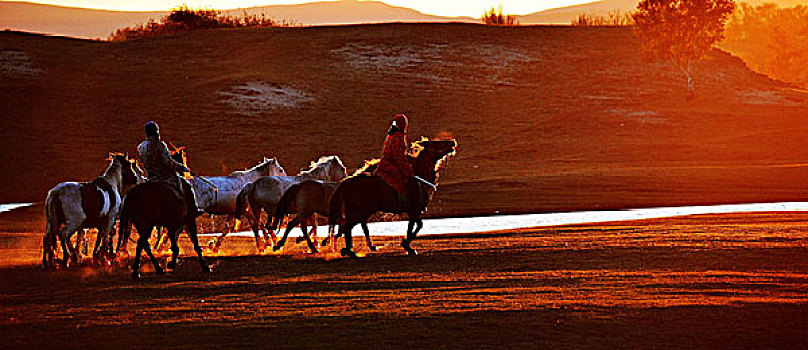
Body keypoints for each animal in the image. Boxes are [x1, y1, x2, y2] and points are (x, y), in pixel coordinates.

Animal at [326, 139, 454, 258]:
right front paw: (408, 246)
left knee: (348, 227)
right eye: (436, 143)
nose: (452, 142)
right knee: (347, 227)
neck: (420, 177)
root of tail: (346, 182)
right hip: (359, 212)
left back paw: (350, 250)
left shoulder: (413, 212)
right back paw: (349, 251)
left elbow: (415, 226)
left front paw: (407, 246)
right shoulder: (415, 210)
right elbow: (416, 226)